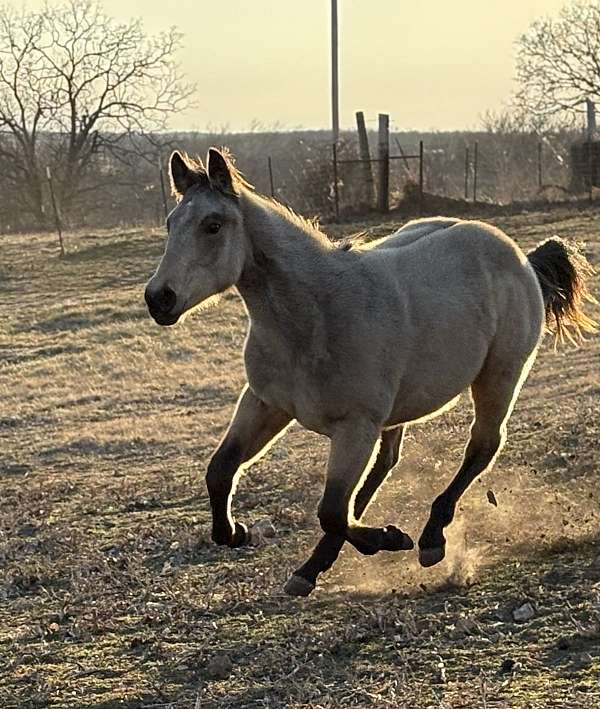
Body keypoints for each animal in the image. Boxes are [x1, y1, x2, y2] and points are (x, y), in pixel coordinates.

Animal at [144, 148, 596, 597]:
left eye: (213, 225)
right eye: (170, 223)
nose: (158, 298)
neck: (316, 315)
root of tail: (522, 259)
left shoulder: (355, 425)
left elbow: (330, 510)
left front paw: (389, 539)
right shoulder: (265, 404)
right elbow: (221, 471)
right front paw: (236, 532)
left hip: (499, 377)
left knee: (481, 447)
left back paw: (429, 539)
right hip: (401, 406)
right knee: (385, 465)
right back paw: (312, 568)